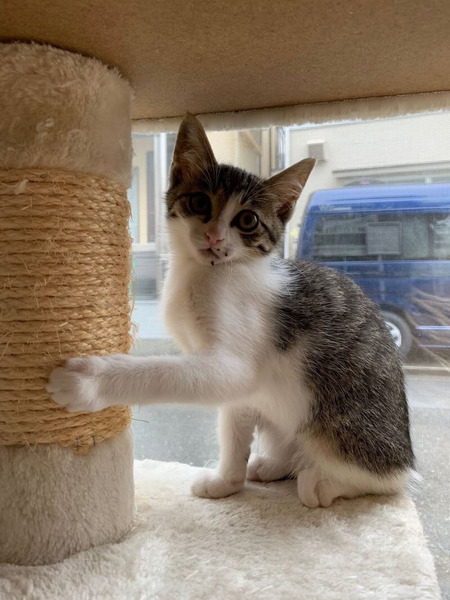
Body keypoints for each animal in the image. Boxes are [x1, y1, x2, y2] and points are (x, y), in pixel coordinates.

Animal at [47, 114, 415, 508]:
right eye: (198, 202)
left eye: (248, 220)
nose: (214, 236)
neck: (204, 274)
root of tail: (405, 456)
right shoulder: (239, 385)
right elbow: (234, 423)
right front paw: (227, 481)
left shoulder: (232, 364)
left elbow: (162, 372)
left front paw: (89, 381)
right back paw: (273, 464)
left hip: (339, 428)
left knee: (382, 483)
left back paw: (323, 482)